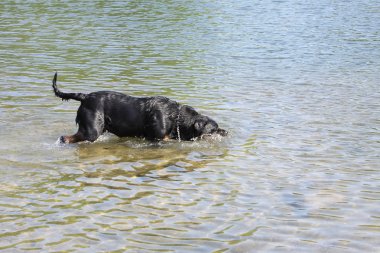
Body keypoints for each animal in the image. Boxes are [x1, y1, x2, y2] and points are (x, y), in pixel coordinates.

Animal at [52, 73, 227, 144]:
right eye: (214, 129)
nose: (226, 132)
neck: (174, 116)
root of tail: (85, 96)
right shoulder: (158, 138)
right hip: (92, 130)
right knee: (67, 138)